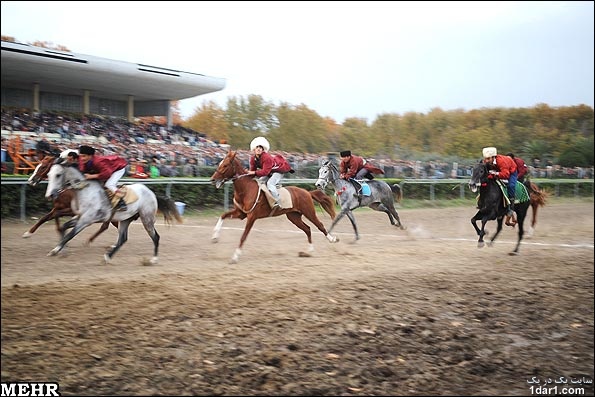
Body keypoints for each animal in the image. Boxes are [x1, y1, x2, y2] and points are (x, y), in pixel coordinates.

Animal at [44, 157, 182, 262]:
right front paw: (60, 250)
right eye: (48, 175)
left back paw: (153, 259)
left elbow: (70, 234)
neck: (85, 191)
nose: (50, 195)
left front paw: (56, 250)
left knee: (155, 237)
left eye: (58, 175)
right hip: (126, 219)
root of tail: (151, 193)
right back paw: (108, 256)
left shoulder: (86, 220)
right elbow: (64, 228)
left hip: (146, 218)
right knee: (122, 239)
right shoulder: (79, 217)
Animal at [211, 150, 340, 264]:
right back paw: (309, 251)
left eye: (225, 165)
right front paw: (215, 238)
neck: (246, 189)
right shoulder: (241, 214)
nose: (212, 179)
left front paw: (234, 257)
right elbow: (223, 215)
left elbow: (243, 236)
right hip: (293, 216)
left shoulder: (252, 217)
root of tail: (307, 192)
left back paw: (332, 239)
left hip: (309, 212)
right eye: (219, 164)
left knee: (320, 226)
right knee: (307, 229)